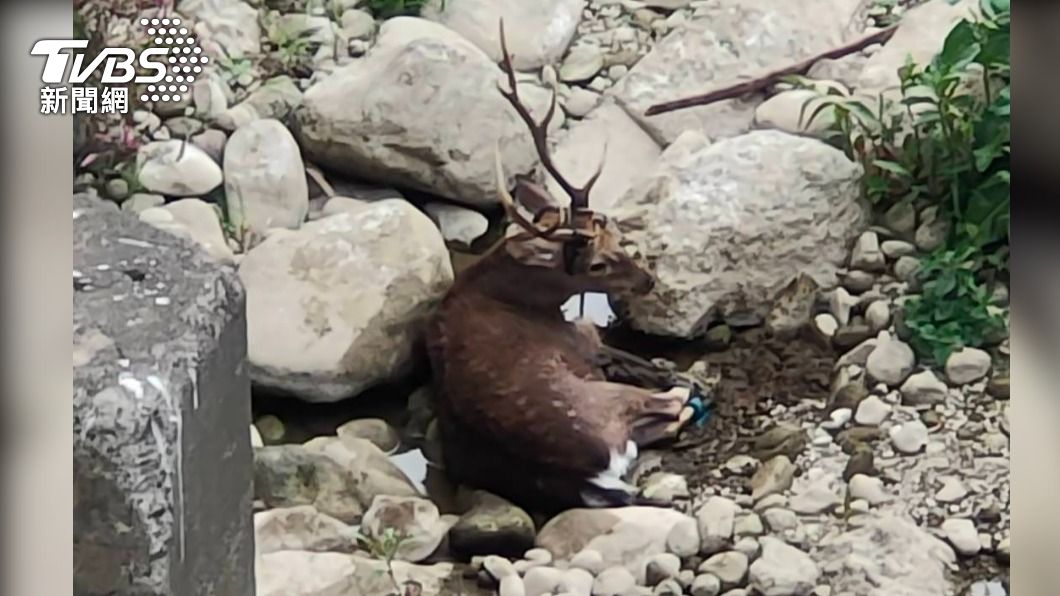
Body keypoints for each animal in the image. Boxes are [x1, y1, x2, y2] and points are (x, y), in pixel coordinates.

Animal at [422, 22, 701, 514]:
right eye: (599, 262)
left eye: (613, 229)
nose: (648, 281)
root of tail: (581, 473)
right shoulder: (582, 339)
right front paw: (673, 369)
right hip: (602, 401)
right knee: (672, 405)